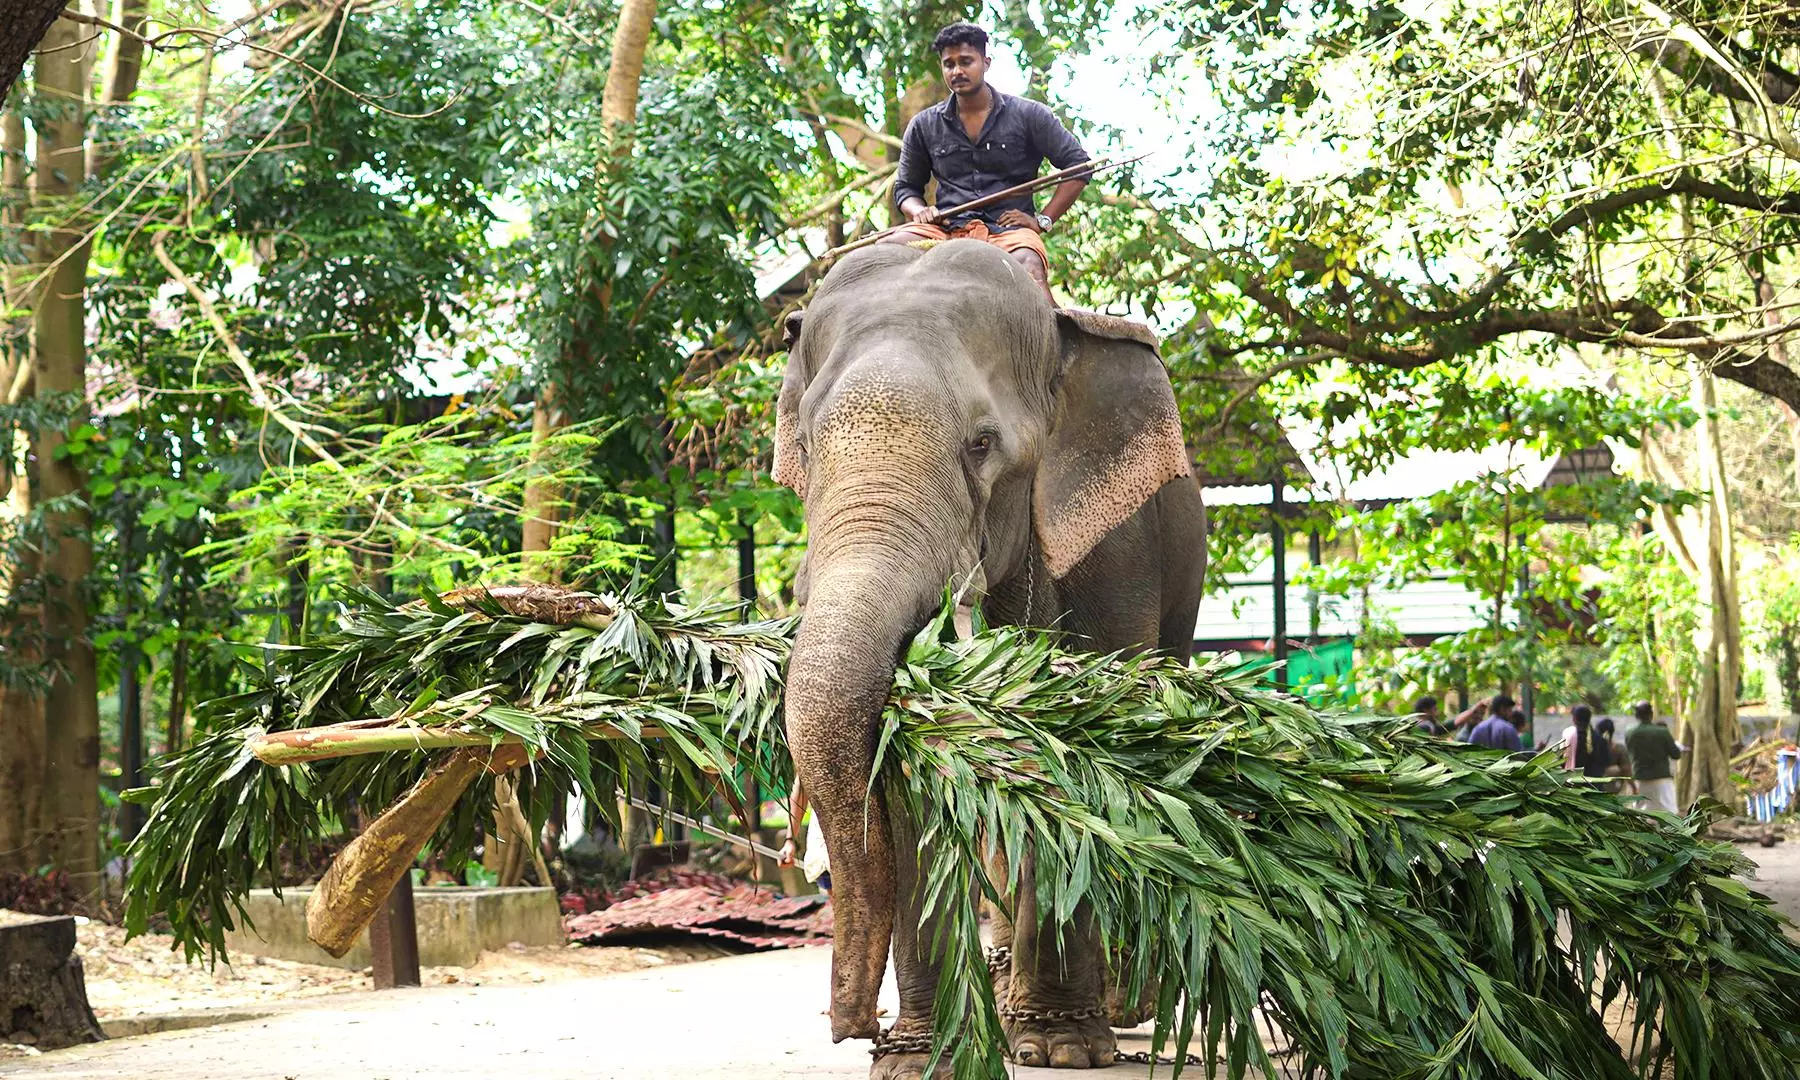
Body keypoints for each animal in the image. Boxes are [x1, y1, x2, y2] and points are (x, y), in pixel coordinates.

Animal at [777, 237, 1209, 1080]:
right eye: (805, 450)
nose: (851, 1025)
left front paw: (1063, 1049)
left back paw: (1113, 1010)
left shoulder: (1115, 550)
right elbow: (907, 775)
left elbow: (1083, 751)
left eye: (980, 446)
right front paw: (917, 1062)